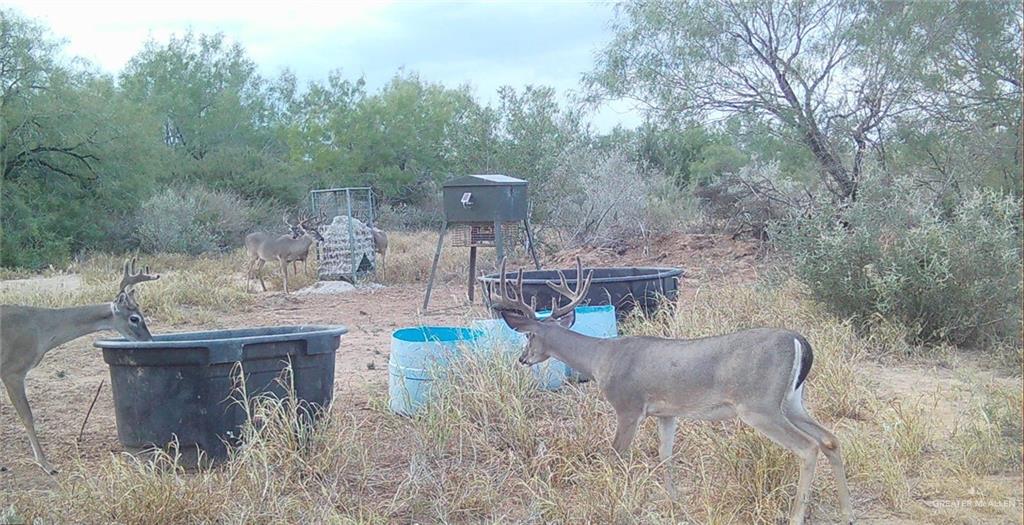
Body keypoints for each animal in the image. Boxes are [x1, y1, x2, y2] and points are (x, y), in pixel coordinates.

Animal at [0, 259, 157, 472]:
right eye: (134, 318)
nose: (150, 341)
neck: (41, 329)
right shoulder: (12, 370)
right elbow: (27, 416)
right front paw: (46, 464)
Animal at [491, 256, 851, 523]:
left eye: (528, 336)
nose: (523, 359)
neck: (601, 359)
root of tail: (799, 340)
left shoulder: (628, 406)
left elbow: (617, 454)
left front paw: (617, 500)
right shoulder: (666, 413)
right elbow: (665, 454)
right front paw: (673, 499)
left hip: (759, 405)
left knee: (808, 447)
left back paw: (796, 516)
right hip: (791, 401)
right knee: (830, 439)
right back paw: (847, 512)